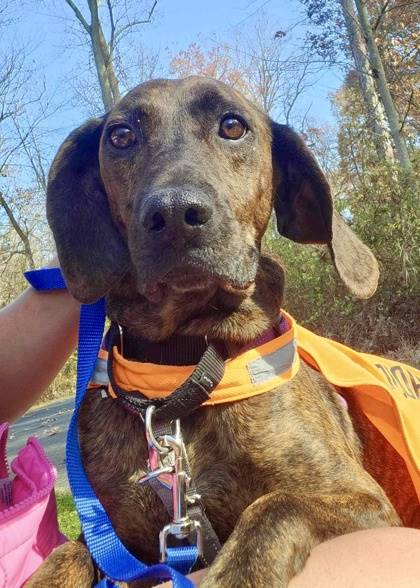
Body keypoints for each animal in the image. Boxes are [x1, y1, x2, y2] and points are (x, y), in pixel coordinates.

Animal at [27, 78, 398, 588]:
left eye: (233, 126)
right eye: (120, 136)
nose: (174, 214)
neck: (184, 368)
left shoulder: (367, 501)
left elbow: (276, 506)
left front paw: (236, 572)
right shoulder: (112, 543)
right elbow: (64, 555)